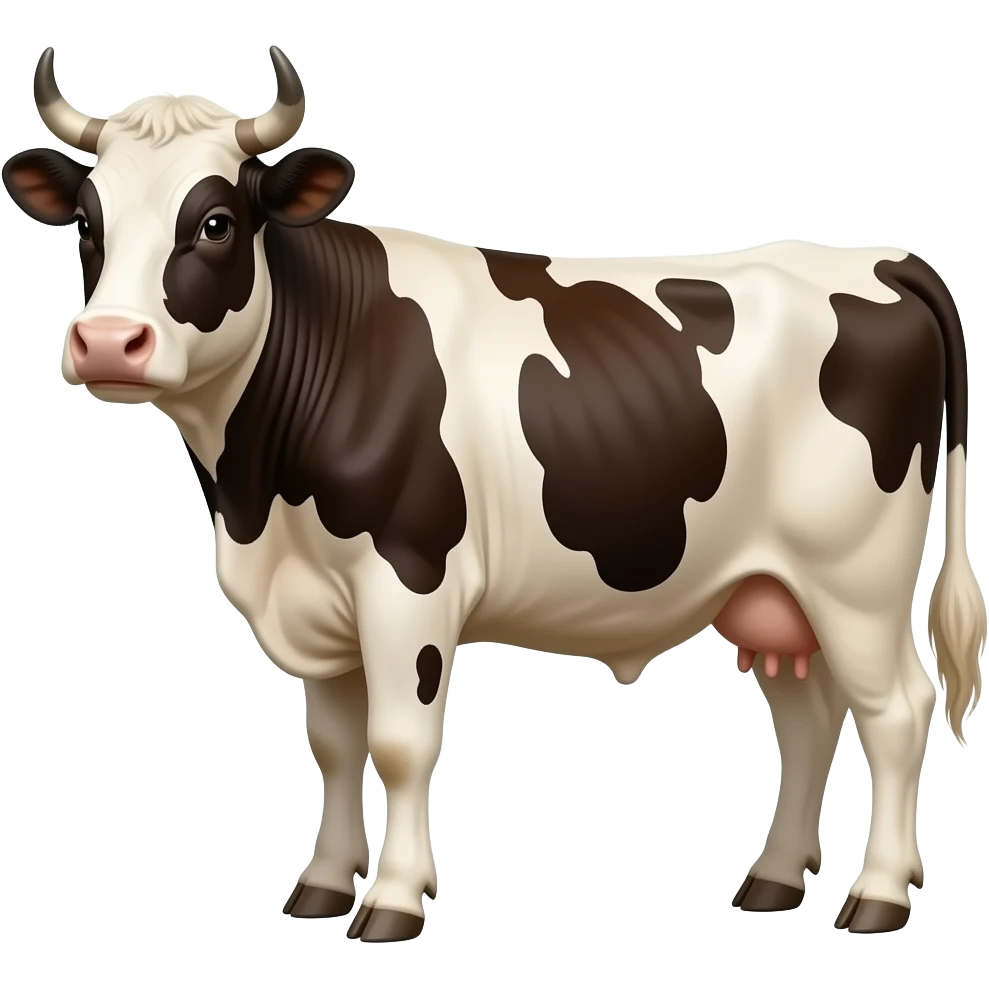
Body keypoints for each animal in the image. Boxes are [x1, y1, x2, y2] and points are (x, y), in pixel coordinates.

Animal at [4, 45, 985, 941]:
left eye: (212, 221)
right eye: (86, 222)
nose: (107, 341)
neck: (257, 500)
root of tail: (882, 257)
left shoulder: (407, 583)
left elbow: (399, 745)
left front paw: (393, 902)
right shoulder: (318, 602)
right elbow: (333, 745)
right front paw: (320, 886)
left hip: (856, 576)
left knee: (896, 711)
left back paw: (878, 896)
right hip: (771, 588)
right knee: (810, 718)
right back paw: (773, 879)